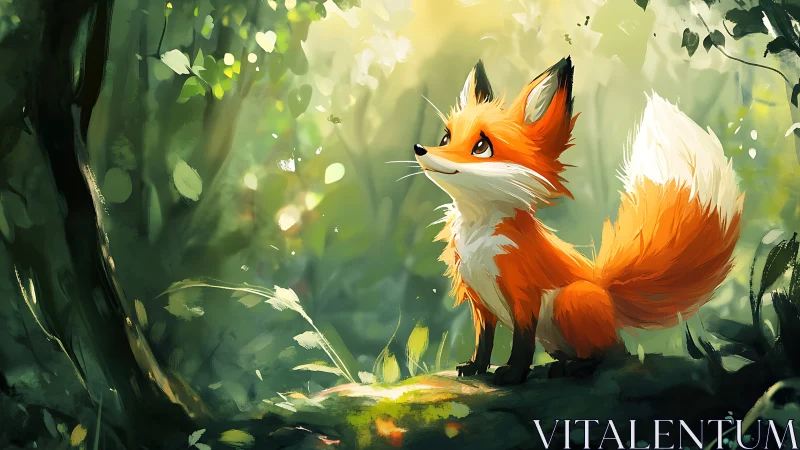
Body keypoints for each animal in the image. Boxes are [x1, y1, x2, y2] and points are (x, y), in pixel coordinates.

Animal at [412, 57, 743, 385]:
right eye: (446, 137)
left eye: (481, 147)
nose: (420, 149)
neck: (478, 238)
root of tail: (605, 291)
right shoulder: (479, 301)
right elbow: (484, 342)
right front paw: (475, 367)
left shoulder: (524, 294)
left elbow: (522, 344)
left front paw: (513, 375)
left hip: (569, 301)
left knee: (610, 356)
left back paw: (575, 367)